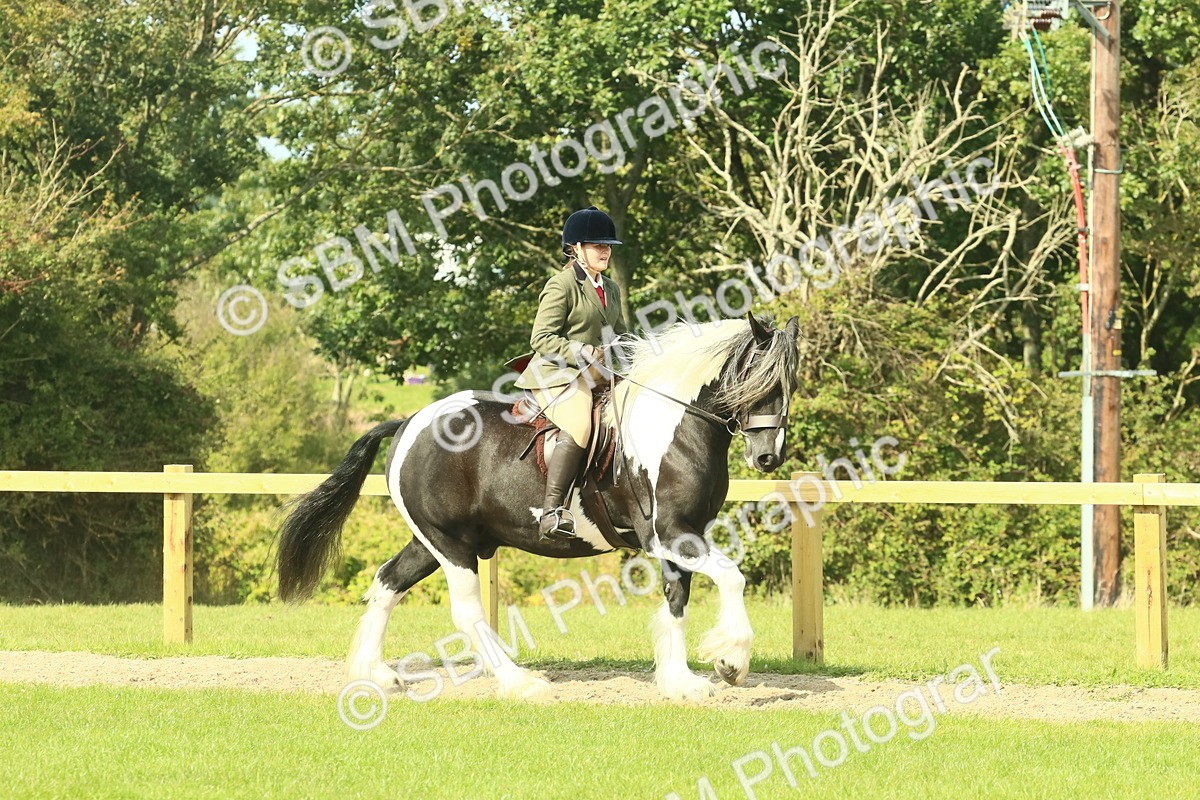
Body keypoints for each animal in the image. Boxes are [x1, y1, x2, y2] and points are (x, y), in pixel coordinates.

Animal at [277, 312, 800, 701]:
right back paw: (520, 682)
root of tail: (409, 422)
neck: (672, 426)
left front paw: (682, 683)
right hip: (451, 546)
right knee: (465, 612)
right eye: (757, 378)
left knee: (388, 582)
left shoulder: (685, 533)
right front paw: (731, 661)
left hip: (432, 542)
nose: (768, 456)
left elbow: (677, 600)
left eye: (790, 383)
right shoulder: (669, 534)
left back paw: (377, 674)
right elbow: (732, 577)